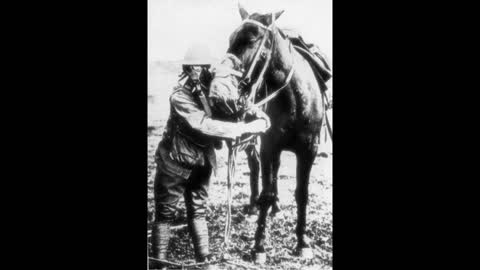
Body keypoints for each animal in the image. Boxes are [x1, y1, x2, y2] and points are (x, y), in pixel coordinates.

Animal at [208, 4, 328, 262]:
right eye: (231, 39)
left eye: (251, 40)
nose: (220, 82)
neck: (295, 99)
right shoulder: (268, 147)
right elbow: (266, 191)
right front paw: (259, 246)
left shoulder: (309, 150)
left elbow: (302, 194)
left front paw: (302, 242)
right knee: (255, 170)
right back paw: (254, 207)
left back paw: (277, 208)